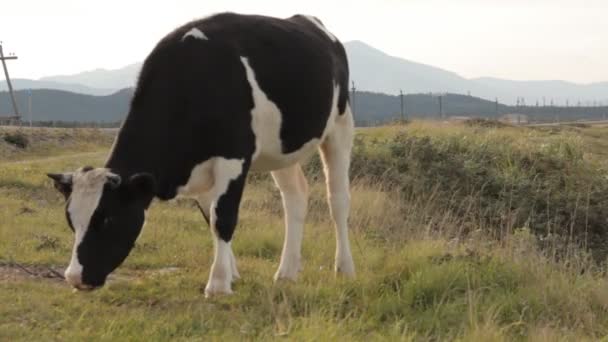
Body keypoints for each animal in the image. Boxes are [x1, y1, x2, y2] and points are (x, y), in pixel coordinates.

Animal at [50, 12, 358, 296]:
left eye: (108, 219)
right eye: (70, 220)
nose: (75, 278)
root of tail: (309, 21)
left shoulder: (234, 156)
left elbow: (223, 217)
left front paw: (218, 285)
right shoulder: (199, 169)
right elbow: (210, 218)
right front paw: (232, 275)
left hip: (340, 126)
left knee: (338, 201)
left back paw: (344, 268)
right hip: (282, 150)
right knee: (295, 198)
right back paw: (286, 272)